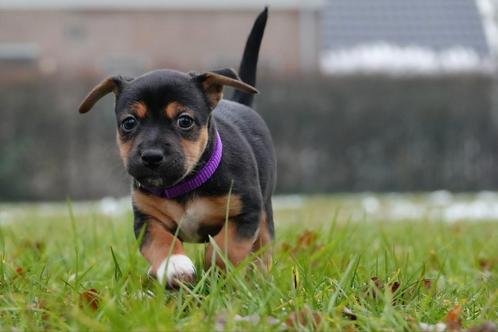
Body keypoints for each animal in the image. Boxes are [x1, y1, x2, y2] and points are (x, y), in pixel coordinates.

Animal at [77, 8, 276, 288]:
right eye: (129, 122)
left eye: (184, 121)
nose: (151, 157)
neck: (185, 184)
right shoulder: (147, 219)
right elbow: (161, 242)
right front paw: (175, 266)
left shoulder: (246, 212)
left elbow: (225, 247)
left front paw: (215, 271)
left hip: (265, 215)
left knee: (264, 250)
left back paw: (259, 279)